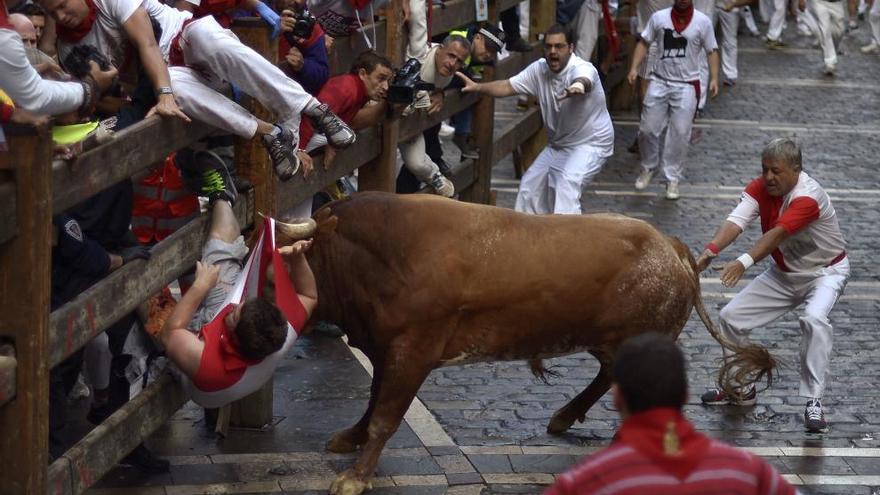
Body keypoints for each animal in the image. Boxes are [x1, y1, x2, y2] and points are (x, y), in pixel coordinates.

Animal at [290, 193, 768, 495]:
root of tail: (667, 245)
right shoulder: (382, 347)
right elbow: (373, 400)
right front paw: (350, 438)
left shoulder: (413, 350)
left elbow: (386, 416)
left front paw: (355, 477)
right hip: (604, 340)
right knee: (606, 375)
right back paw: (564, 418)